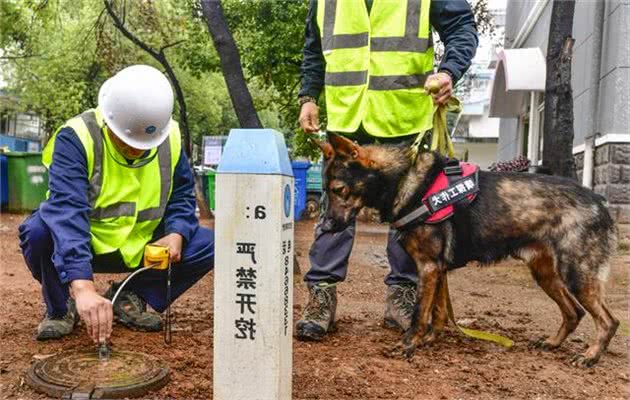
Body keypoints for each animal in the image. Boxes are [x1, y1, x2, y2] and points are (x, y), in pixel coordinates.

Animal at [314, 135, 620, 368]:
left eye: (339, 189)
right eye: (327, 190)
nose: (326, 225)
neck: (406, 180)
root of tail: (599, 200)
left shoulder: (428, 267)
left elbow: (419, 314)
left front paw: (409, 344)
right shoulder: (438, 270)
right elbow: (438, 313)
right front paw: (430, 340)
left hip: (577, 275)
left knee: (609, 321)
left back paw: (590, 356)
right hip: (545, 274)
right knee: (574, 312)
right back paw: (553, 343)